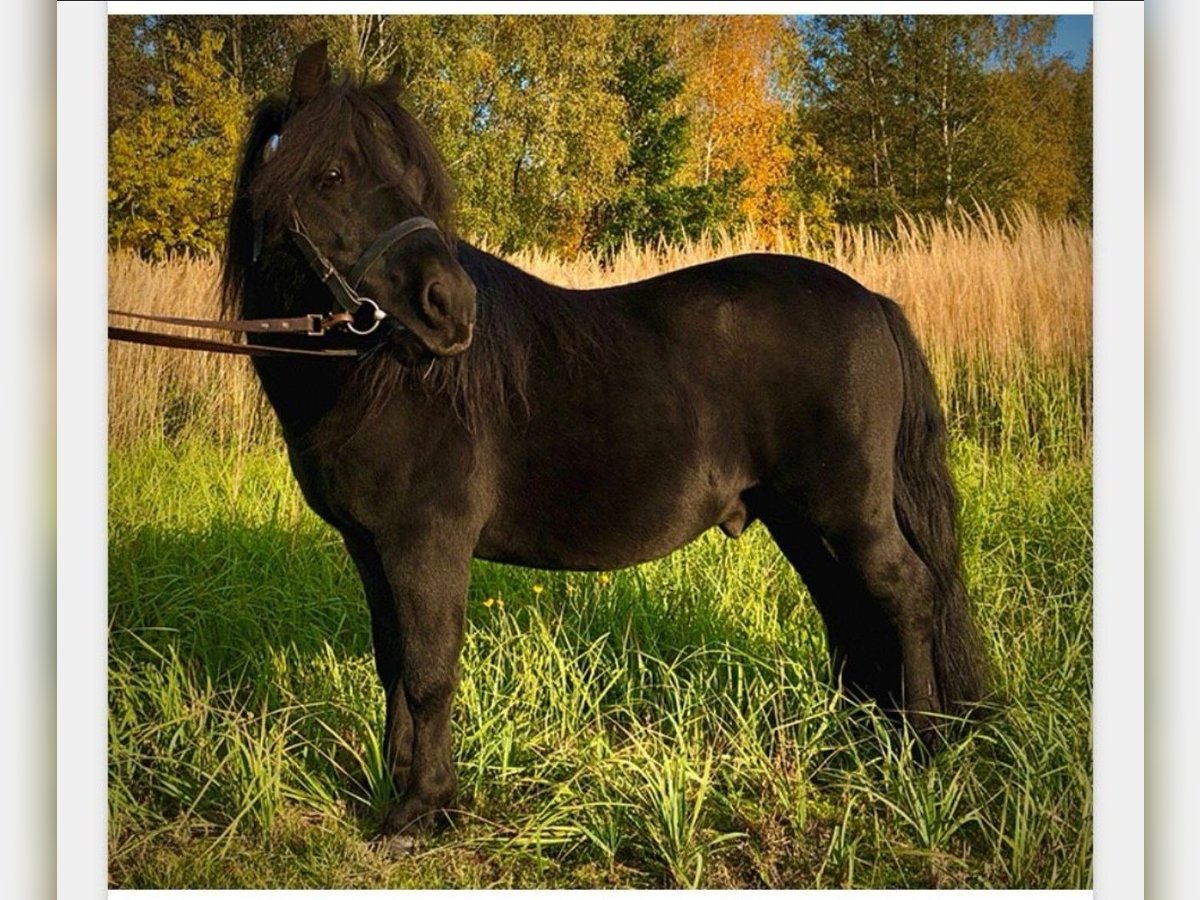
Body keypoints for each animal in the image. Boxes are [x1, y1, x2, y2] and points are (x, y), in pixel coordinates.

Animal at [225, 44, 993, 840]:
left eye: (415, 179)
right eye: (332, 175)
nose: (451, 307)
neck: (378, 380)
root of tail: (870, 302)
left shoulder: (426, 543)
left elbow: (431, 672)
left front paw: (424, 806)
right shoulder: (369, 546)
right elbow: (395, 665)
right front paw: (394, 786)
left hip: (848, 510)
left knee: (905, 593)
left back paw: (925, 744)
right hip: (800, 519)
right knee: (846, 604)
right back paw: (862, 735)